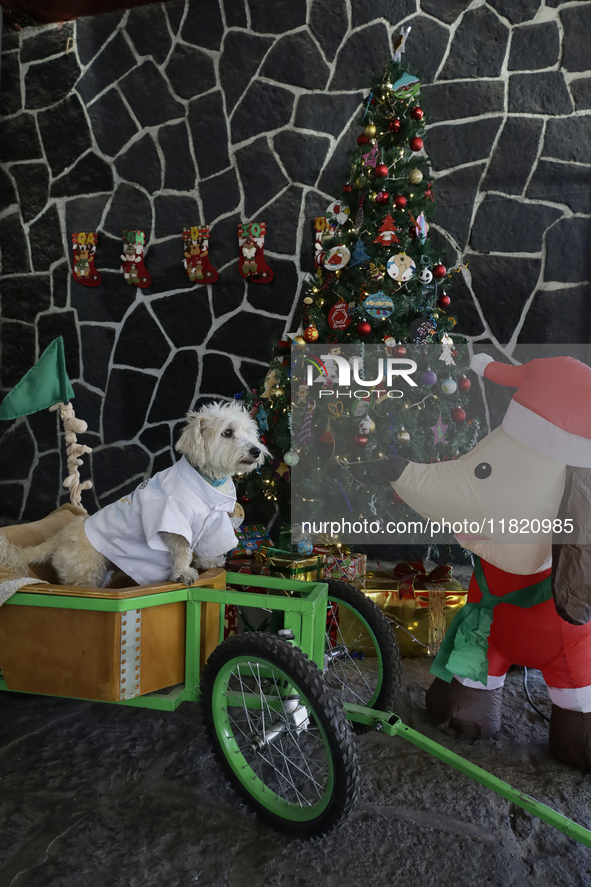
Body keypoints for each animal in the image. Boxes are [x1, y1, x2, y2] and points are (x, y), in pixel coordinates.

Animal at [0, 402, 268, 588]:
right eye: (227, 432)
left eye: (249, 432)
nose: (256, 451)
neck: (207, 479)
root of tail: (61, 534)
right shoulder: (173, 523)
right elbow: (182, 550)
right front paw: (184, 573)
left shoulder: (214, 521)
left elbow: (208, 544)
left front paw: (209, 562)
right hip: (85, 571)